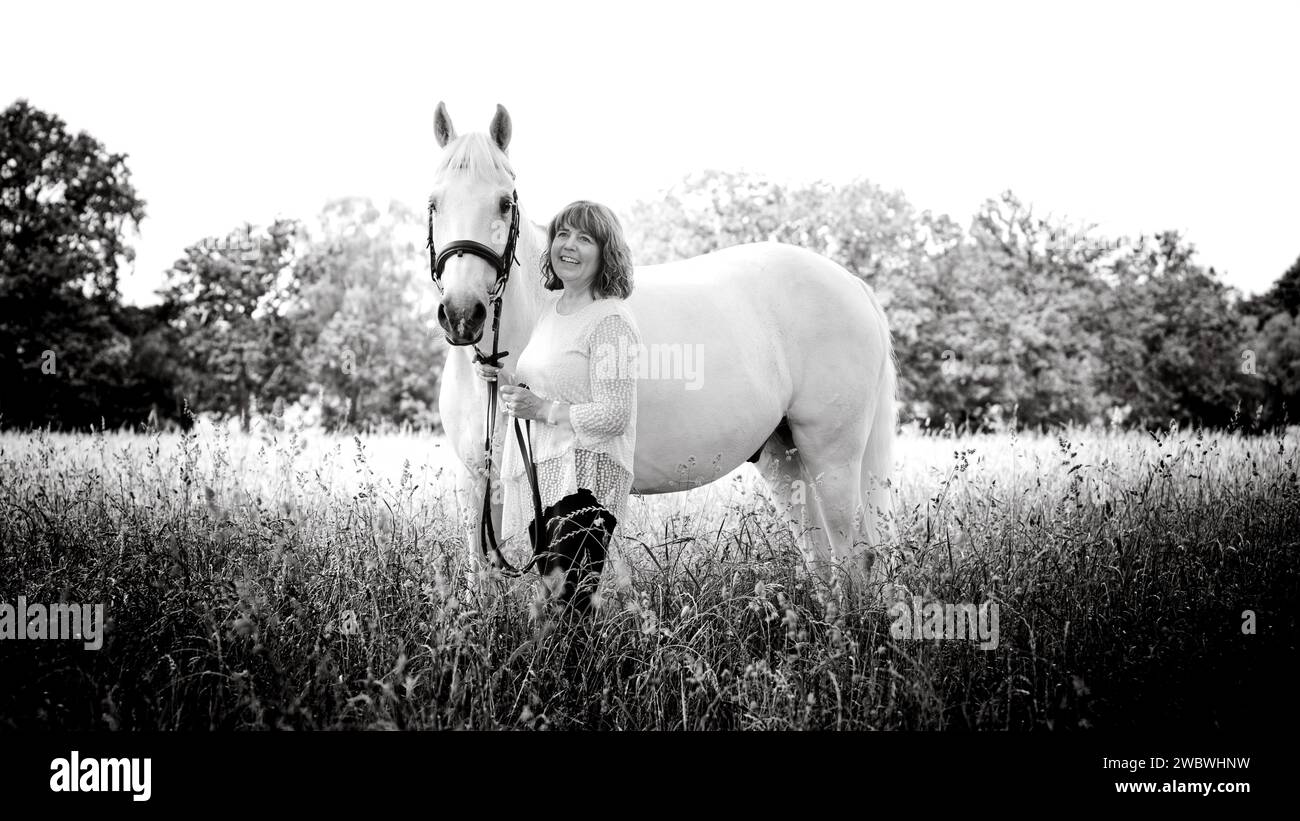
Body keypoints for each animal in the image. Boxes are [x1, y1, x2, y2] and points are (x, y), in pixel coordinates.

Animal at [431, 103, 899, 589]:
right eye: (434, 203)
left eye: (504, 202)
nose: (463, 314)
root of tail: (850, 283)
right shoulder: (478, 483)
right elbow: (482, 578)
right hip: (784, 457)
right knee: (821, 559)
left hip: (833, 457)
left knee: (855, 557)